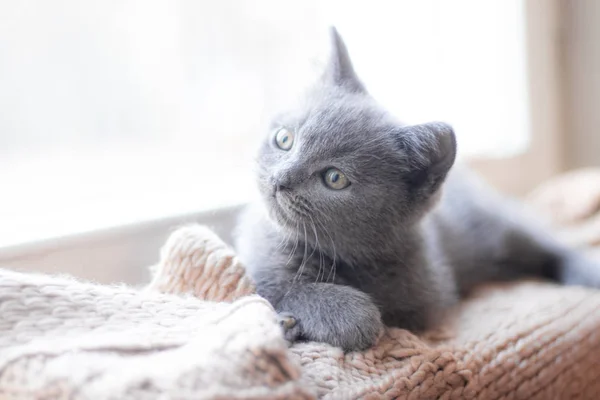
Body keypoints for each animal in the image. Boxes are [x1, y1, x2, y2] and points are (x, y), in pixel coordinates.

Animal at [233, 28, 600, 352]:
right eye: (284, 139)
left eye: (334, 178)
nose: (280, 180)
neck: (341, 258)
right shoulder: (259, 261)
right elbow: (277, 288)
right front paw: (325, 317)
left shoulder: (424, 299)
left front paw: (342, 316)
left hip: (498, 223)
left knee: (547, 241)